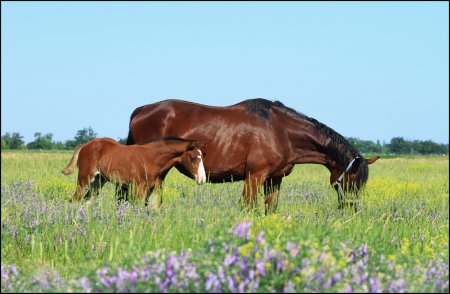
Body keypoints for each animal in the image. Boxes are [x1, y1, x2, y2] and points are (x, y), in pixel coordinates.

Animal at [61, 137, 206, 208]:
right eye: (193, 158)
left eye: (203, 156)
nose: (203, 179)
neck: (152, 159)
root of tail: (85, 145)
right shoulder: (139, 188)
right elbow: (138, 208)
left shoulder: (154, 188)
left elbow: (153, 208)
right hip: (84, 178)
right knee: (75, 200)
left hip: (98, 180)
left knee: (88, 200)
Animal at [125, 99, 378, 214]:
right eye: (353, 181)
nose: (352, 210)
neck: (281, 131)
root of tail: (142, 110)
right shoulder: (255, 175)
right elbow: (247, 207)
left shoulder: (274, 179)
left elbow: (270, 208)